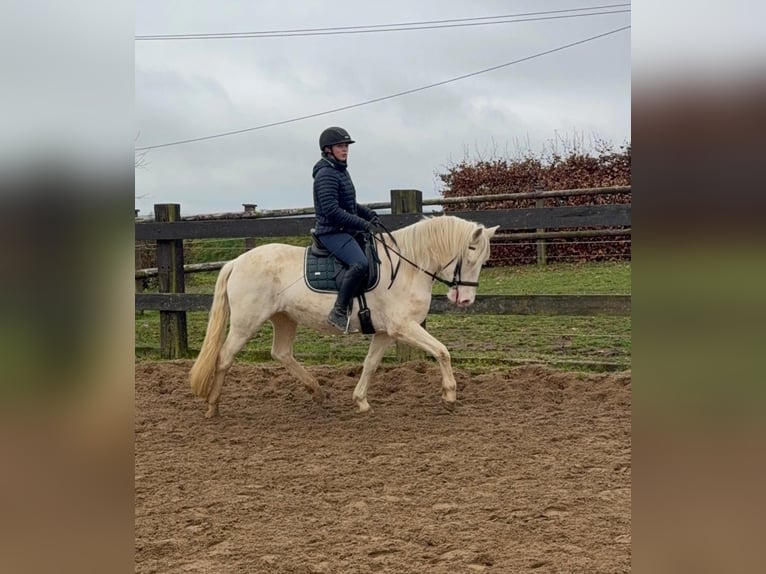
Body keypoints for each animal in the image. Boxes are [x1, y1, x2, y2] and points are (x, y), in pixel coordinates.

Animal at [189, 215, 499, 417]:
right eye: (471, 257)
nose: (466, 300)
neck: (408, 267)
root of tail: (236, 261)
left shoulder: (385, 332)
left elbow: (371, 364)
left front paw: (361, 401)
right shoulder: (403, 327)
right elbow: (442, 351)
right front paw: (450, 396)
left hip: (284, 317)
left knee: (281, 353)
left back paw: (317, 391)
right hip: (246, 323)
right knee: (224, 357)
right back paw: (213, 406)